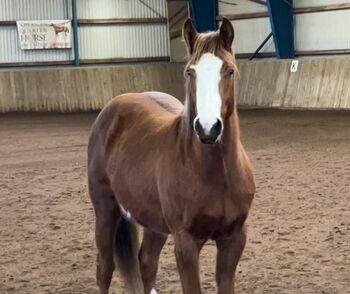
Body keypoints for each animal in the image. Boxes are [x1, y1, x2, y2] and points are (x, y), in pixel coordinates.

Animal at [88, 18, 254, 294]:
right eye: (190, 72)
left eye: (229, 70)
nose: (208, 128)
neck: (217, 174)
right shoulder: (185, 244)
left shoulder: (234, 239)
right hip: (105, 210)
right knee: (104, 270)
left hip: (153, 221)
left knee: (146, 263)